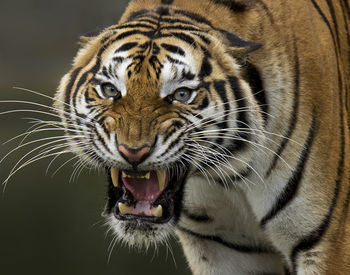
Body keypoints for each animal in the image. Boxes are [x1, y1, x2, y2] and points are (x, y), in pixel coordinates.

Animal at [52, 0, 350, 274]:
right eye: (110, 90)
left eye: (182, 94)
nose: (133, 152)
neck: (230, 174)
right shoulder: (223, 248)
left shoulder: (327, 244)